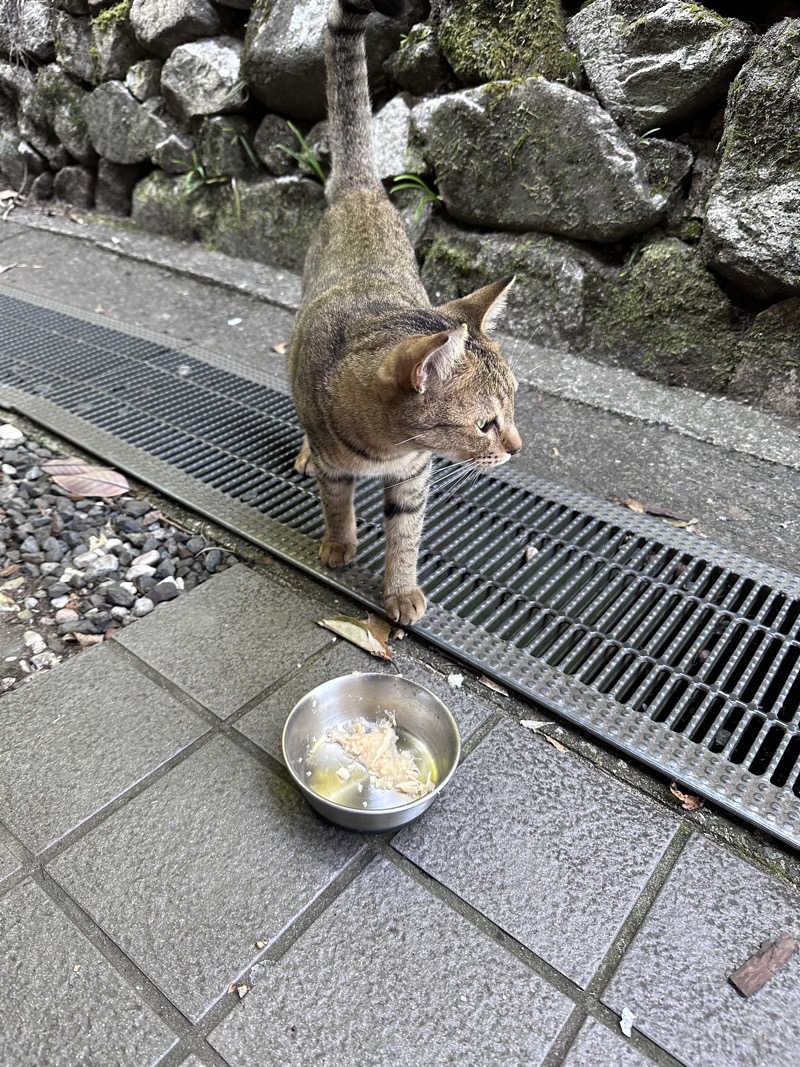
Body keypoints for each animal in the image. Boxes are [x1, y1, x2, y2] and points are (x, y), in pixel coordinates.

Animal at [292, 0, 522, 623]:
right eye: (485, 425)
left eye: (515, 406)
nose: (517, 448)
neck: (388, 450)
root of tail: (363, 188)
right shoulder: (338, 467)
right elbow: (337, 501)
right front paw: (339, 543)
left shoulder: (414, 477)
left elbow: (405, 536)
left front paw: (401, 589)